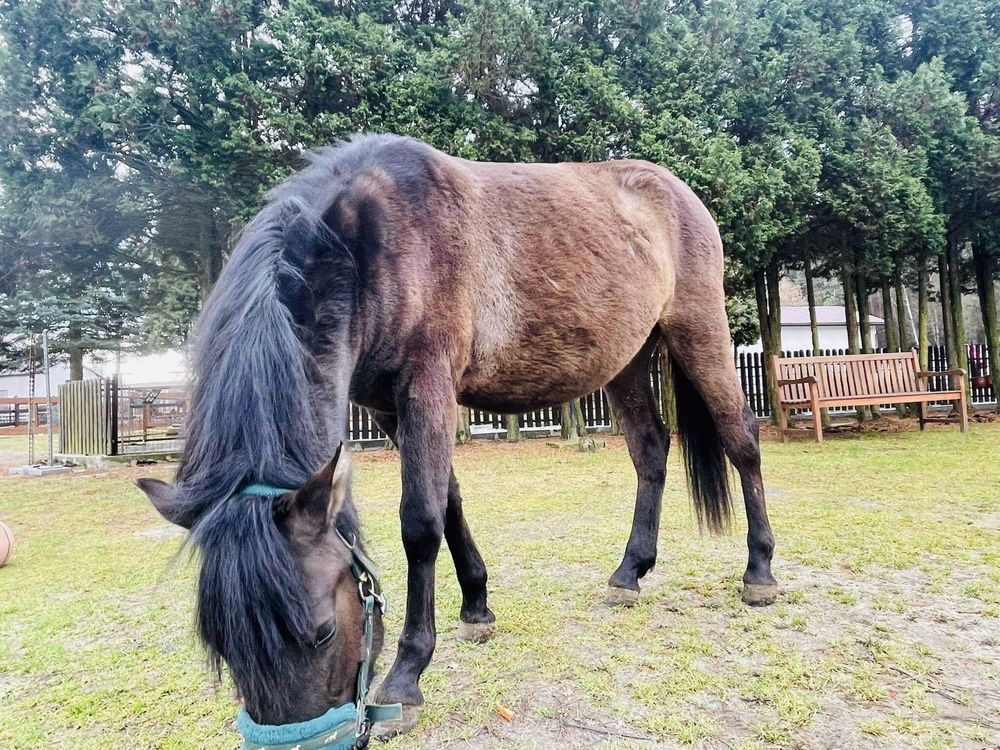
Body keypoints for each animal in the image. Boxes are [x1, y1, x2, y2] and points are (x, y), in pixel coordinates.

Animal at [139, 134, 780, 740]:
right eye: (218, 642)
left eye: (320, 631)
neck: (368, 244)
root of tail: (678, 192)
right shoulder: (393, 409)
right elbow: (448, 502)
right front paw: (477, 606)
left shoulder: (428, 387)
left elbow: (420, 523)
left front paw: (405, 678)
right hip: (628, 359)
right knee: (650, 450)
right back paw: (629, 574)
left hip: (699, 329)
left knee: (741, 440)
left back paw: (759, 572)